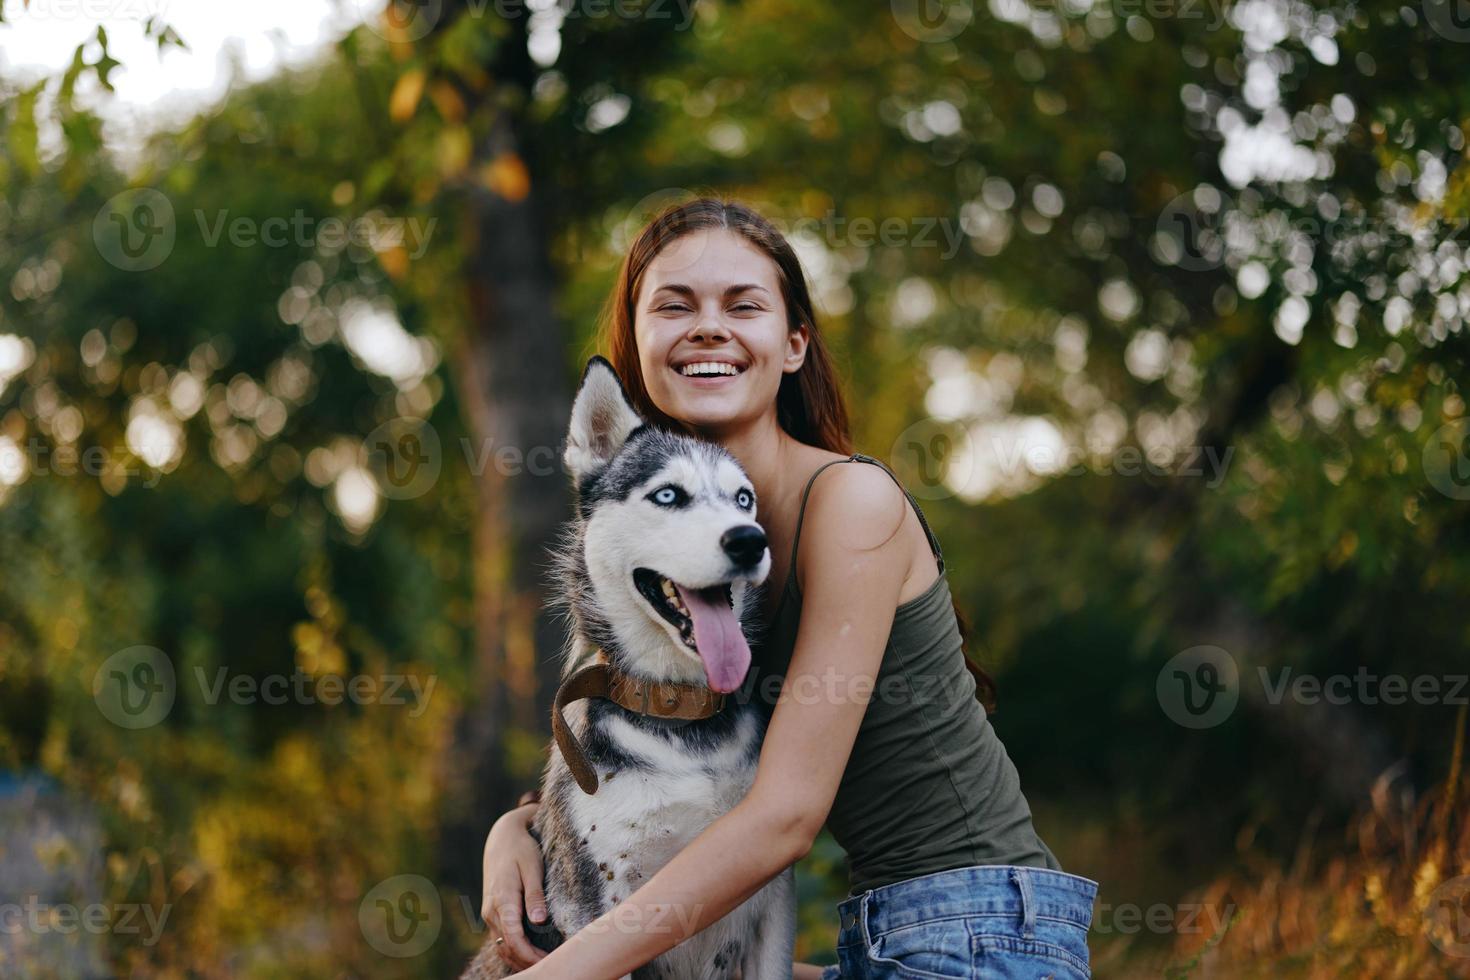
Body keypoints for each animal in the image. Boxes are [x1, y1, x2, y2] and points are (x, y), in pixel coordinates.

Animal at [464, 358, 799, 980]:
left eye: (743, 499)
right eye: (668, 494)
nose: (749, 540)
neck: (680, 712)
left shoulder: (771, 899)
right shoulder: (603, 907)